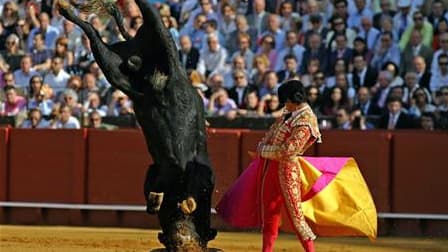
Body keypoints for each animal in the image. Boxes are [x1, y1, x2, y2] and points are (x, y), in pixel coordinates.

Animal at [56, 0, 217, 248]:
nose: (180, 241)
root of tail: (173, 74)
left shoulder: (159, 169)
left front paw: (155, 202)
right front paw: (161, 202)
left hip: (123, 78)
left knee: (95, 37)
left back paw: (68, 10)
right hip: (155, 44)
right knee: (146, 15)